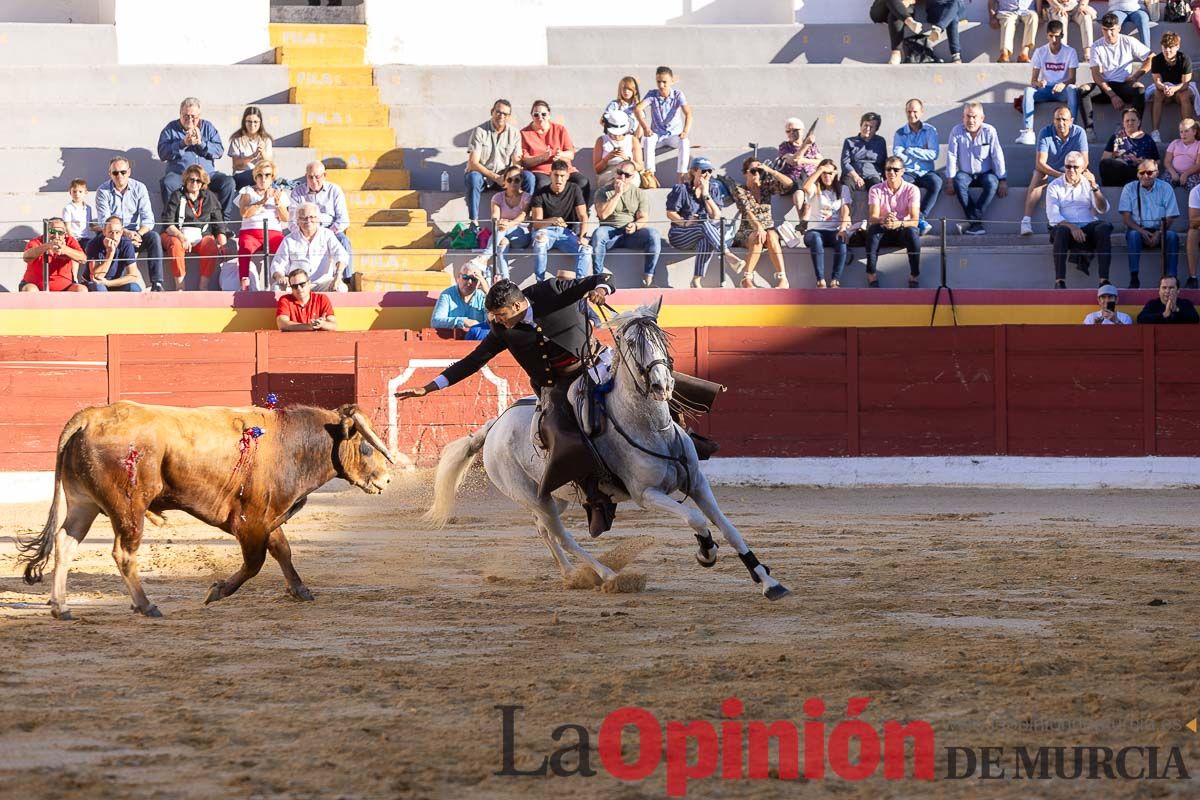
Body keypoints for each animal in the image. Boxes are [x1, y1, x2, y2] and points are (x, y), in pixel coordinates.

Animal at [16, 400, 391, 618]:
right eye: (367, 449)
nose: (386, 479)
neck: (290, 443)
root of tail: (89, 417)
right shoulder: (251, 521)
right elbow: (255, 563)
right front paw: (217, 591)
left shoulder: (267, 517)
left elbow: (282, 550)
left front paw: (300, 590)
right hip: (128, 507)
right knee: (123, 552)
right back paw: (146, 605)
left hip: (84, 502)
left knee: (65, 543)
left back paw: (61, 607)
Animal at [427, 298, 792, 599]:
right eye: (631, 343)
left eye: (662, 337)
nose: (661, 384)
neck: (651, 427)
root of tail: (494, 426)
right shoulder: (646, 494)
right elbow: (695, 518)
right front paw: (706, 552)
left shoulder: (698, 482)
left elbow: (728, 528)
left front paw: (767, 581)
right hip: (530, 495)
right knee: (560, 534)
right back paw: (605, 575)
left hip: (553, 494)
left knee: (545, 530)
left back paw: (571, 574)